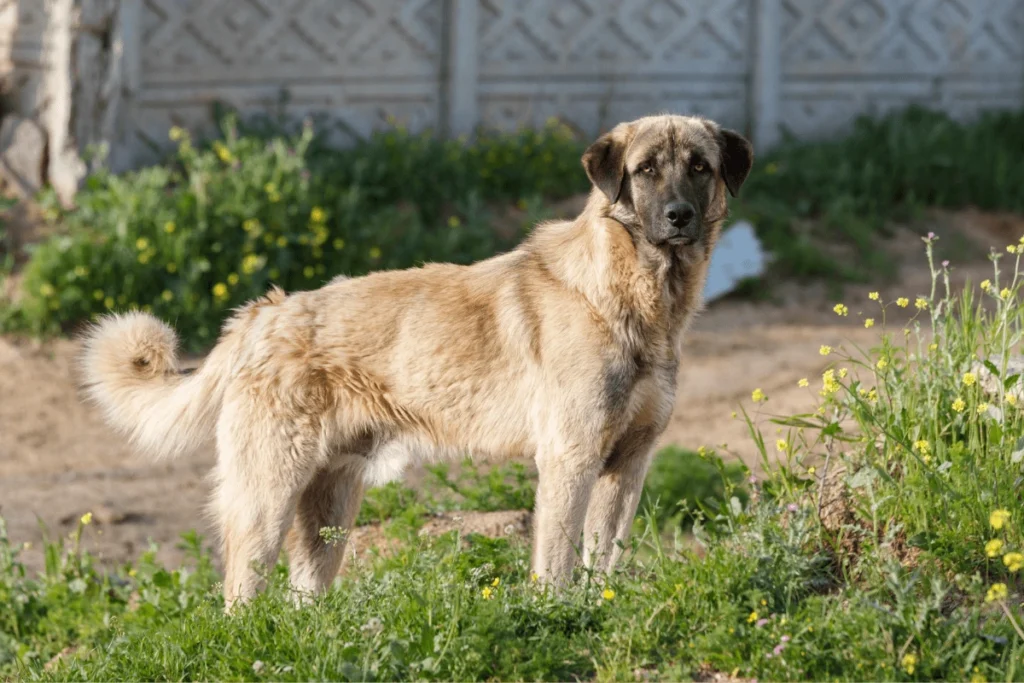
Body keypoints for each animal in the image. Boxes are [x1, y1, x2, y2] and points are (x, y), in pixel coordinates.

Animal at [79, 114, 753, 610]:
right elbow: (559, 561)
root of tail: (262, 314)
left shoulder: (628, 465)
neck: (629, 295)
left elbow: (604, 558)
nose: (679, 217)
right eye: (645, 171)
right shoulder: (571, 458)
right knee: (239, 595)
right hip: (266, 495)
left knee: (302, 597)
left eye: (699, 167)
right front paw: (558, 615)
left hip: (330, 508)